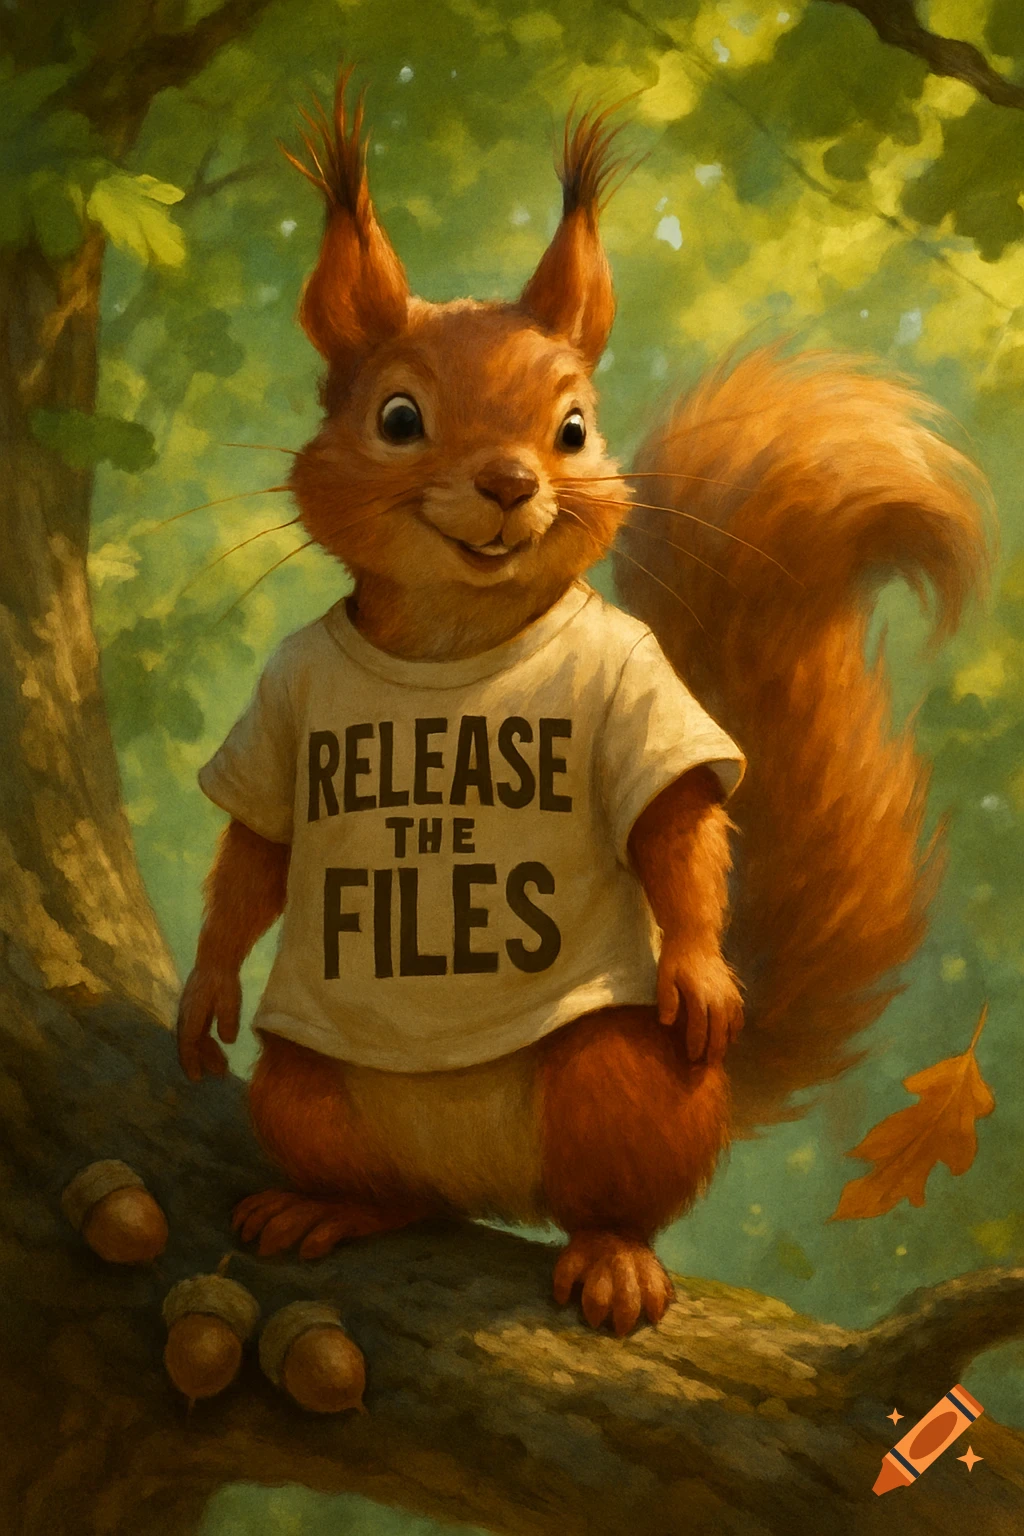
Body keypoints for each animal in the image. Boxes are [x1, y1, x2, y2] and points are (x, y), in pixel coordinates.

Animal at [176, 75, 990, 1336]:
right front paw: (204, 989)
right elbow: (256, 856)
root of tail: (483, 1187)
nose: (514, 484)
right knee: (383, 1182)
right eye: (396, 418)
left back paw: (613, 1255)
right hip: (306, 1090)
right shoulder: (282, 699)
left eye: (573, 429)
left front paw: (698, 968)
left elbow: (673, 826)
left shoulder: (639, 689)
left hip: (617, 1082)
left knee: (618, 1195)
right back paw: (333, 1207)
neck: (456, 635)